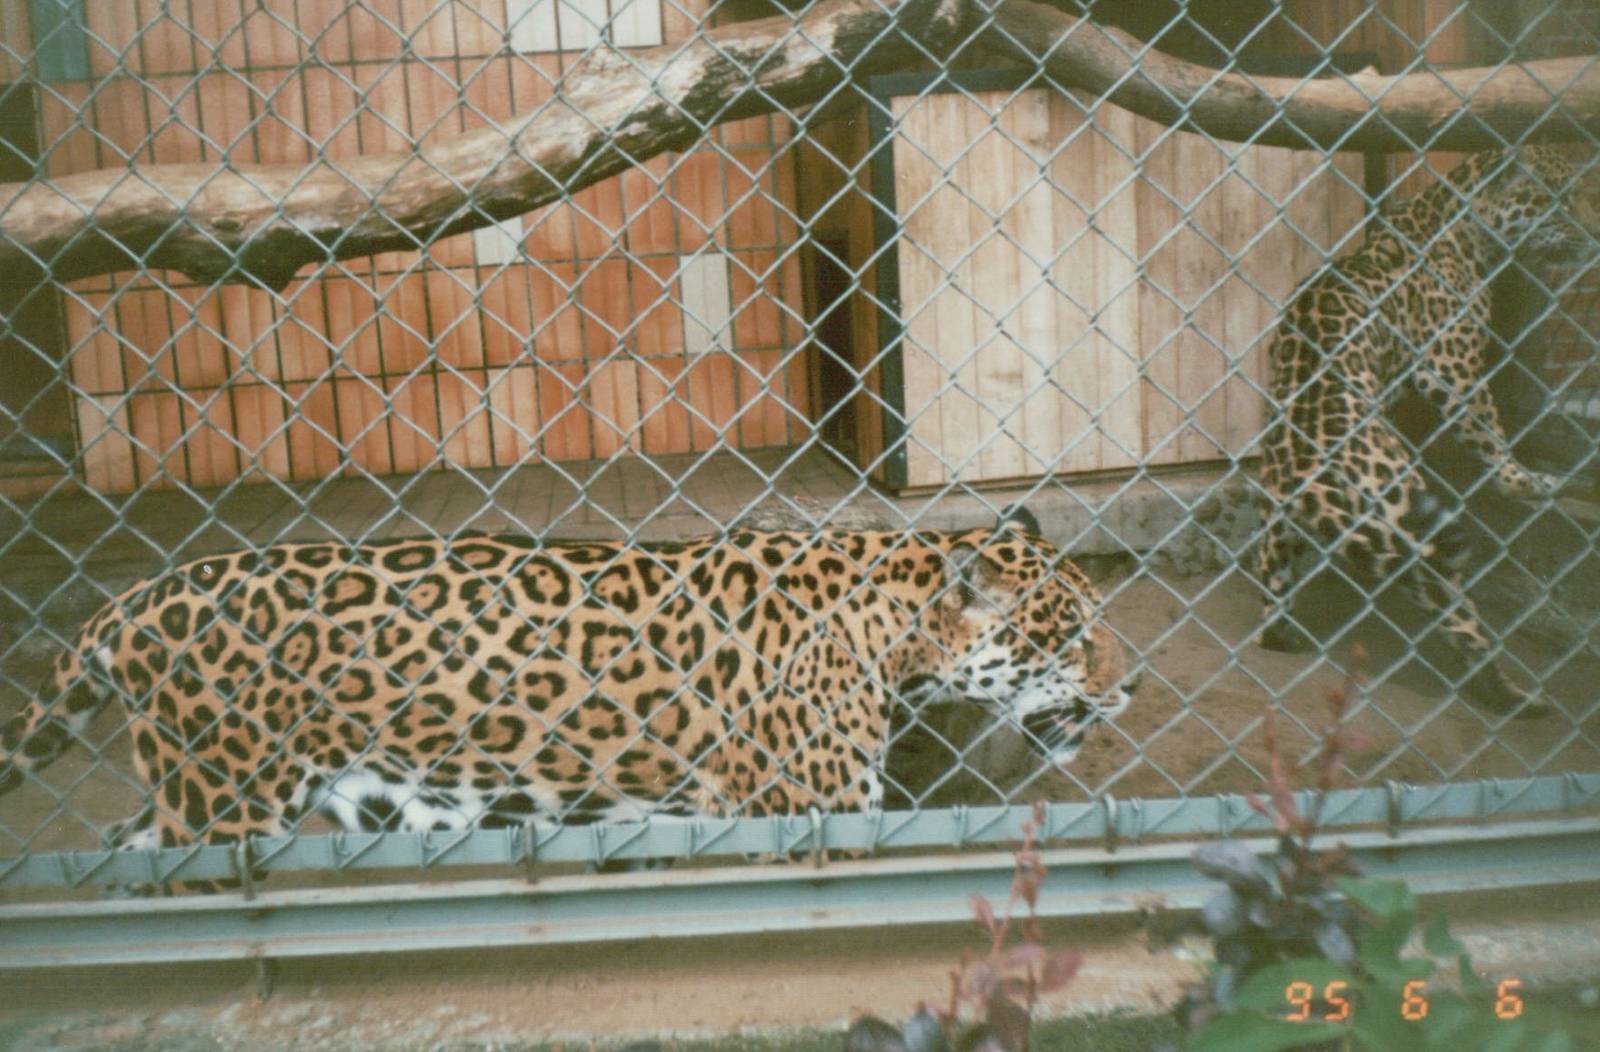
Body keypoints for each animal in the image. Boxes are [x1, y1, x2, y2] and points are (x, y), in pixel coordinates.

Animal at [0, 512, 1133, 883]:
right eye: (1070, 633)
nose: (1128, 685)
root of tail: (136, 597)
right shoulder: (804, 813)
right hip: (227, 808)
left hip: (200, 804)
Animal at [1255, 145, 1600, 713]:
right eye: (1558, 198)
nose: (1592, 234)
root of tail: (1308, 469)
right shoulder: (1451, 367)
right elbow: (1492, 436)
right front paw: (1524, 479)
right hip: (1415, 535)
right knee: (1462, 624)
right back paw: (1514, 697)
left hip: (1277, 525)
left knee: (1269, 596)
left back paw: (1281, 633)